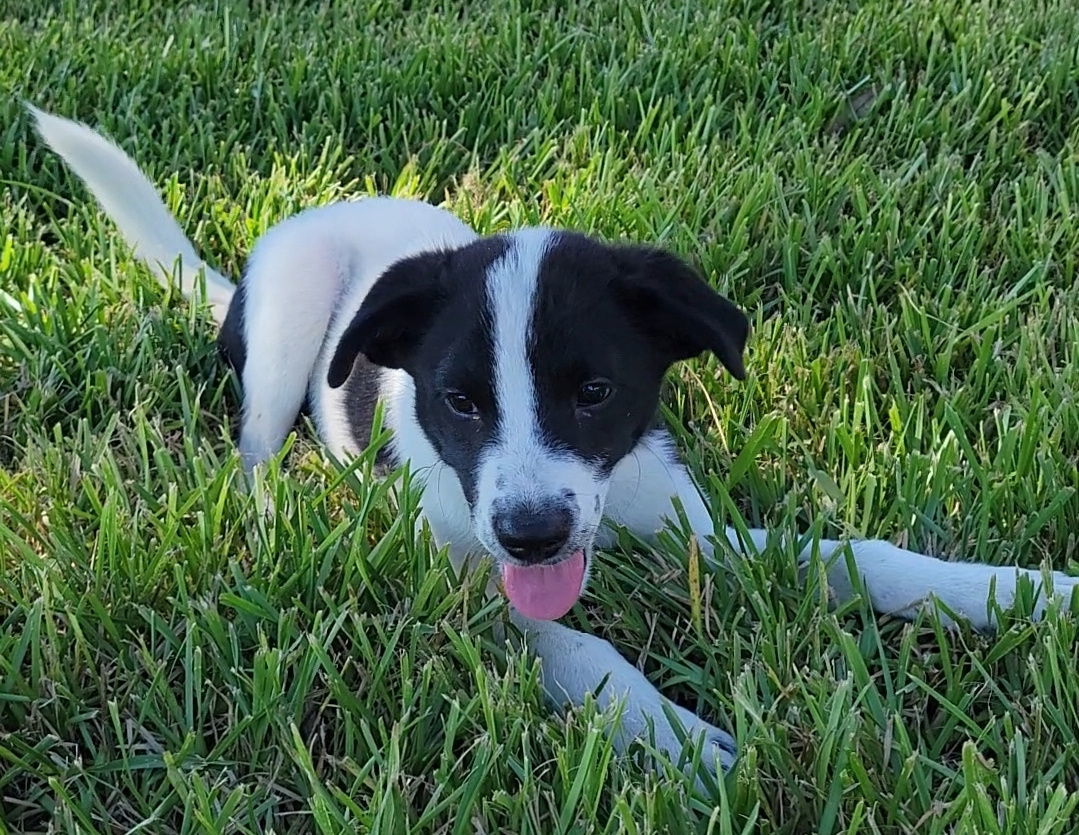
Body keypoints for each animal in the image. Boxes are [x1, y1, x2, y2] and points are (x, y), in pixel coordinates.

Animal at [33, 107, 1079, 781]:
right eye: (458, 401)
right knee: (251, 448)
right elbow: (579, 645)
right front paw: (678, 739)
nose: (531, 534)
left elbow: (864, 556)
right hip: (291, 320)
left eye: (594, 394)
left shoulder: (695, 536)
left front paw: (1021, 592)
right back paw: (276, 513)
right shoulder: (459, 589)